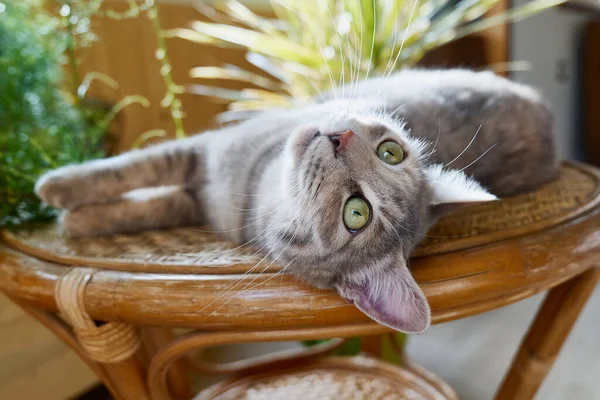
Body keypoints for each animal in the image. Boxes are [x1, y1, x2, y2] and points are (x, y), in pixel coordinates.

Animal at [35, 69, 556, 334]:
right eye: (392, 152)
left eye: (356, 213)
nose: (342, 137)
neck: (257, 187)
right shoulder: (202, 161)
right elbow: (139, 177)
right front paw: (72, 201)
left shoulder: (201, 173)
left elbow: (135, 182)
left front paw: (61, 201)